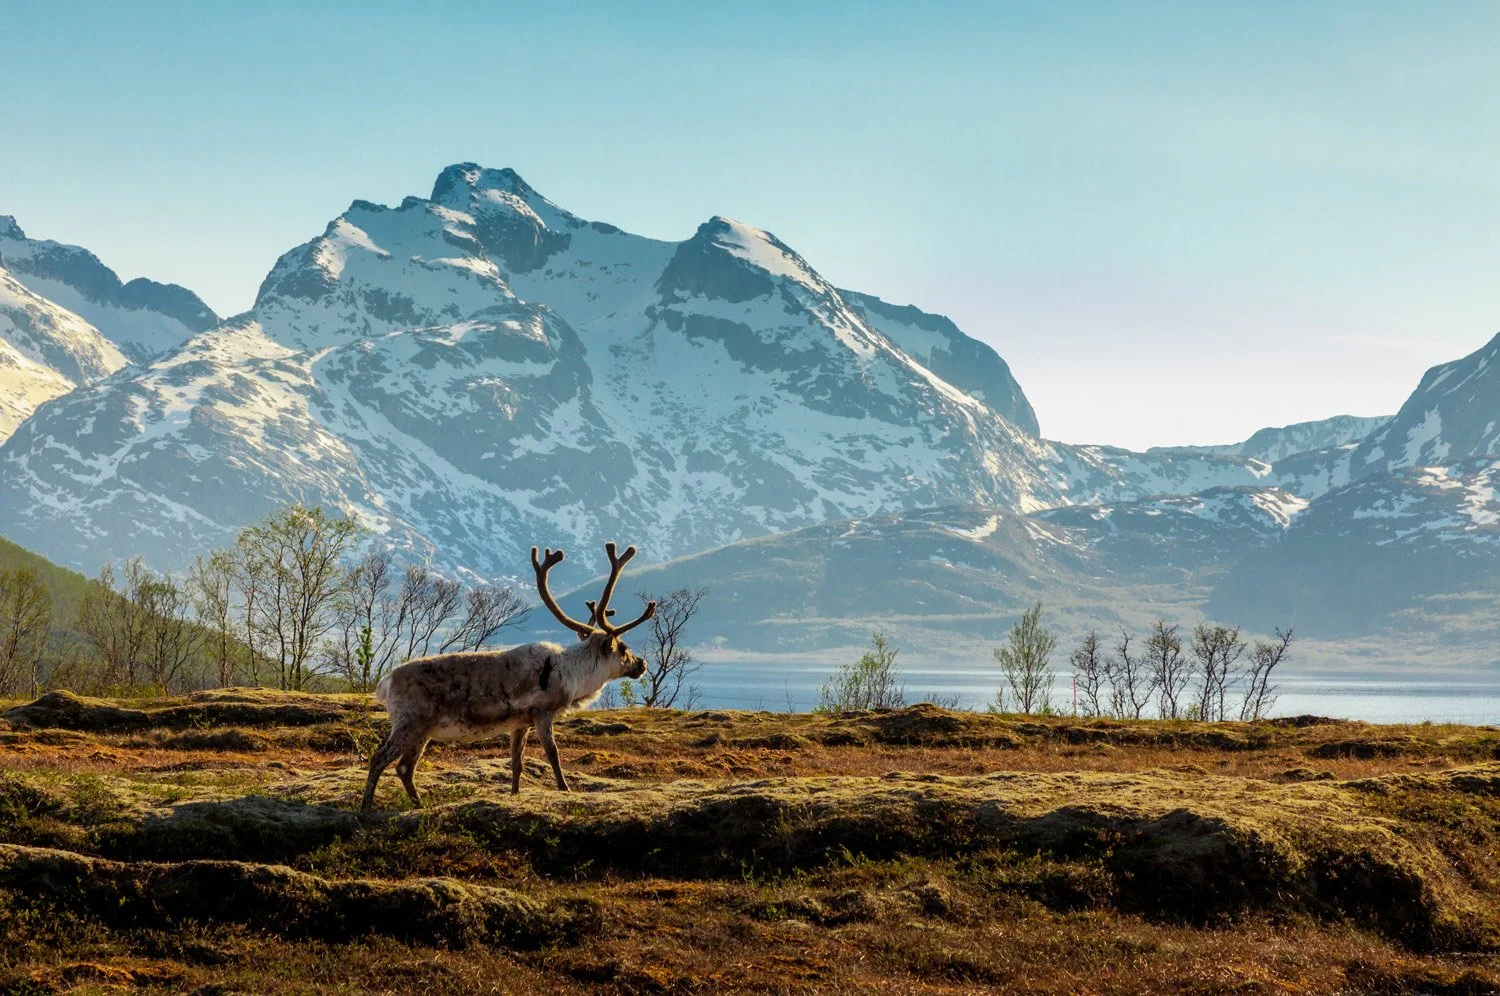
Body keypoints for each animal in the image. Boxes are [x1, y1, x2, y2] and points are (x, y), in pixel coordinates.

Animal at [359, 541, 656, 813]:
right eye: (623, 648)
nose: (642, 663)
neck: (572, 674)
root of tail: (385, 682)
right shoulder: (542, 713)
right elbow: (553, 755)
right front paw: (565, 789)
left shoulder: (520, 723)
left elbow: (517, 762)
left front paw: (514, 794)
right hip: (409, 721)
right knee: (379, 758)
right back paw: (365, 809)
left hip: (423, 731)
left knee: (404, 768)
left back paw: (419, 805)